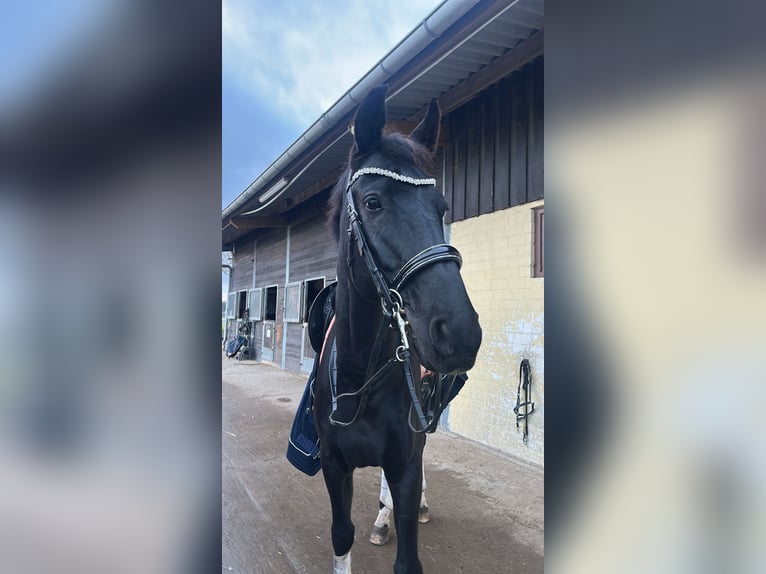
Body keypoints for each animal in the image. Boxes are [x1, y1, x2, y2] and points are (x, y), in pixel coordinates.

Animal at [313, 85, 482, 574]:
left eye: (442, 208)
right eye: (373, 202)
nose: (460, 332)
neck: (359, 378)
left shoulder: (405, 460)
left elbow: (408, 557)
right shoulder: (333, 464)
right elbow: (341, 534)